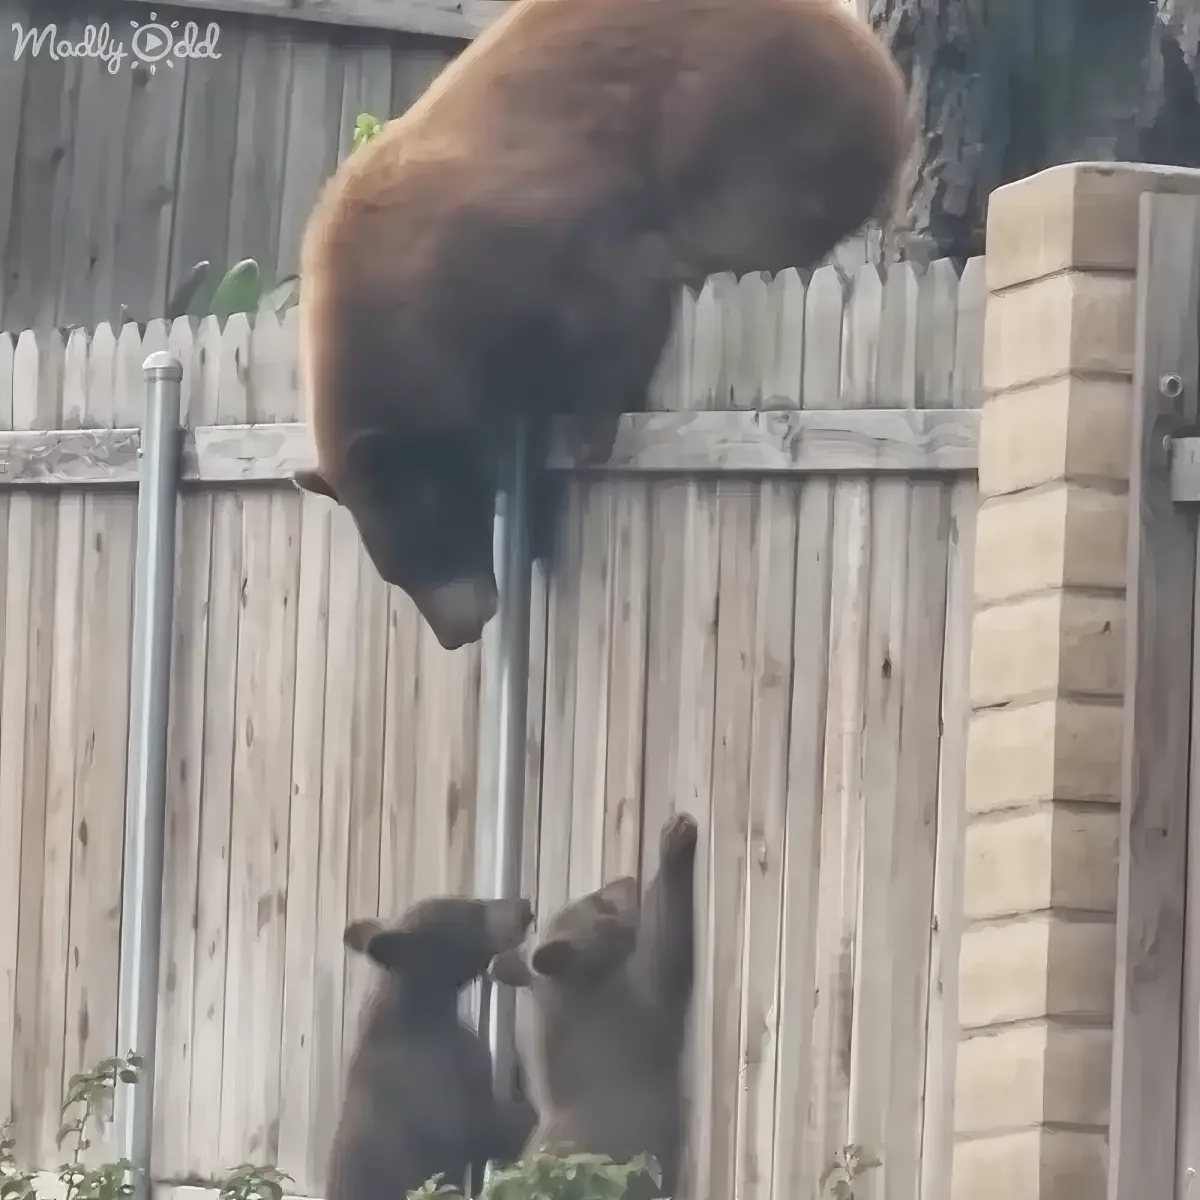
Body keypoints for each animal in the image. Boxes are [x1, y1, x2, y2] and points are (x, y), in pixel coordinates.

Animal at [291, 0, 909, 651]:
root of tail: (879, 67)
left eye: (426, 536)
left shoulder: (518, 241)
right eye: (394, 570)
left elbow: (612, 302)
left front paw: (588, 432)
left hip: (760, 113)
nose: (459, 631)